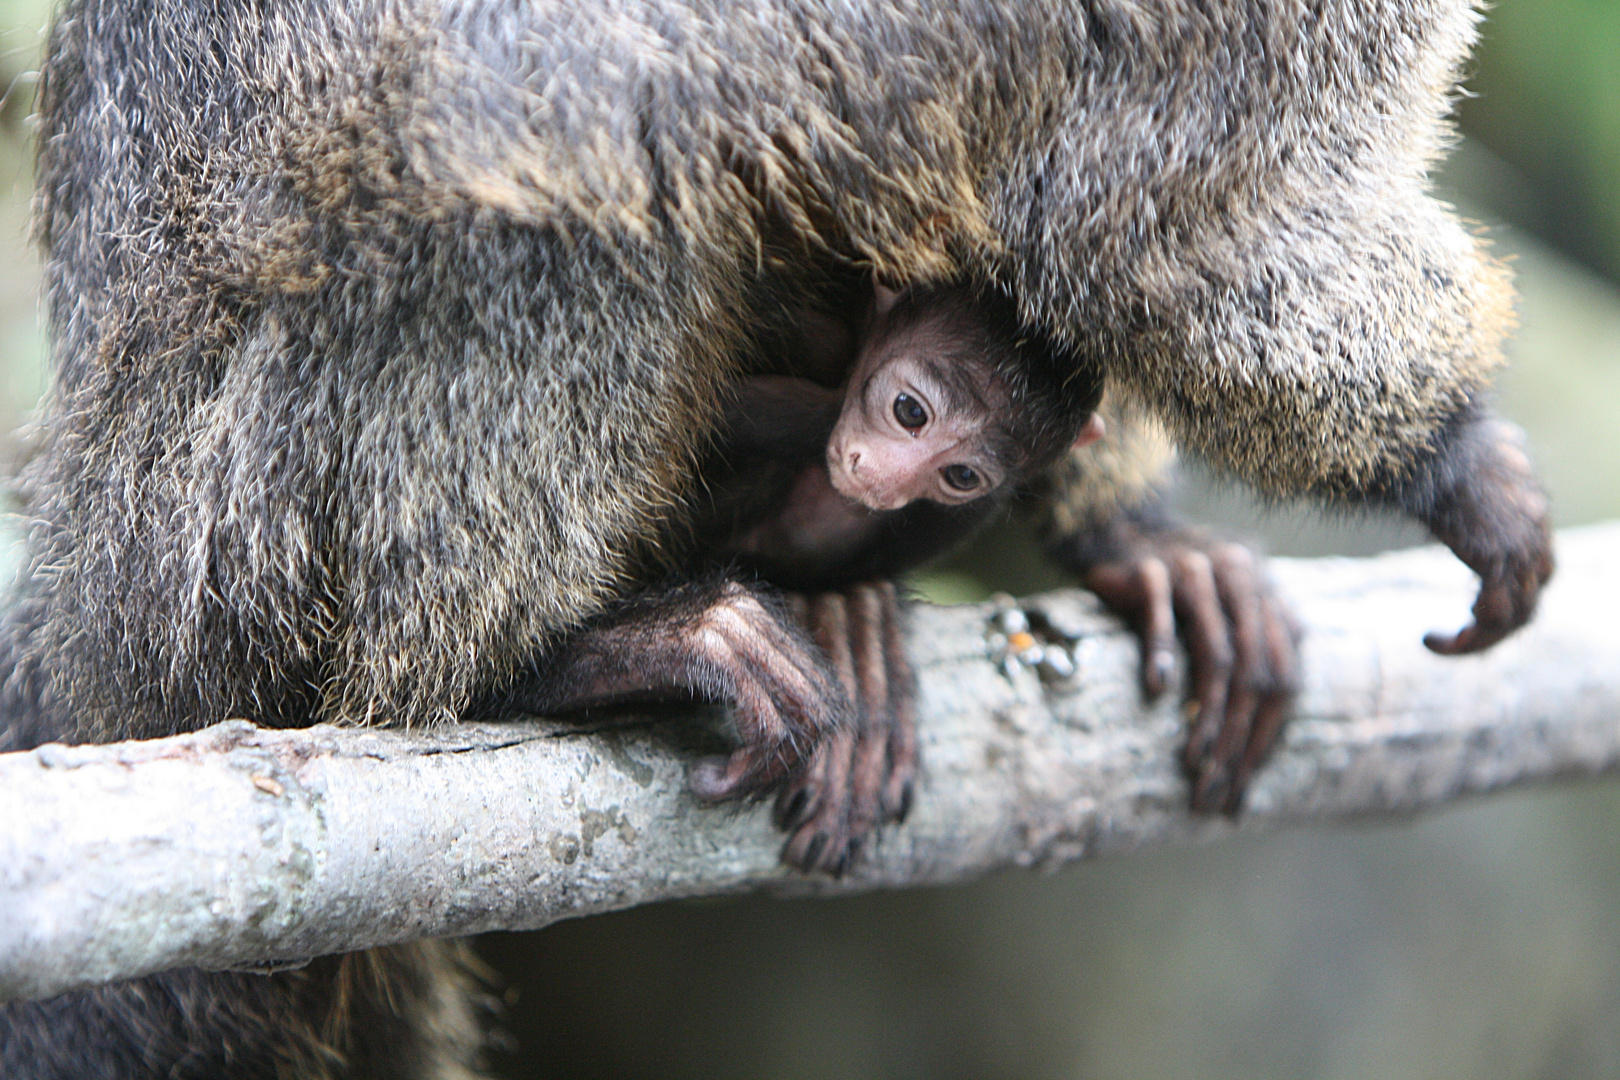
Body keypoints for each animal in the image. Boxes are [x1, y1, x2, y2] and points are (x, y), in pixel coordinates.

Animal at [0, 2, 1548, 1080]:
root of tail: (93, 576)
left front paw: (1132, 533)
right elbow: (1165, 237)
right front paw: (1449, 465)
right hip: (235, 528)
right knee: (544, 150)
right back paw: (548, 662)